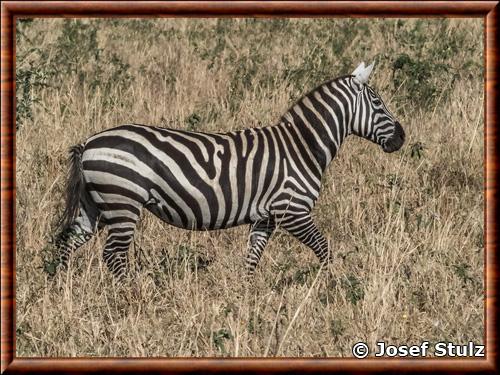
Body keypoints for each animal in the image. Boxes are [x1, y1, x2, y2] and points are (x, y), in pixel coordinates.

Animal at [55, 63, 406, 282]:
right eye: (378, 103)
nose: (402, 138)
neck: (301, 146)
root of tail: (88, 143)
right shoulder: (292, 210)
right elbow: (325, 249)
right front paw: (336, 285)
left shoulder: (266, 217)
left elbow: (252, 259)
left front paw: (246, 298)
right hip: (123, 202)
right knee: (113, 255)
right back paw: (130, 297)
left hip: (96, 205)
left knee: (66, 243)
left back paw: (61, 291)